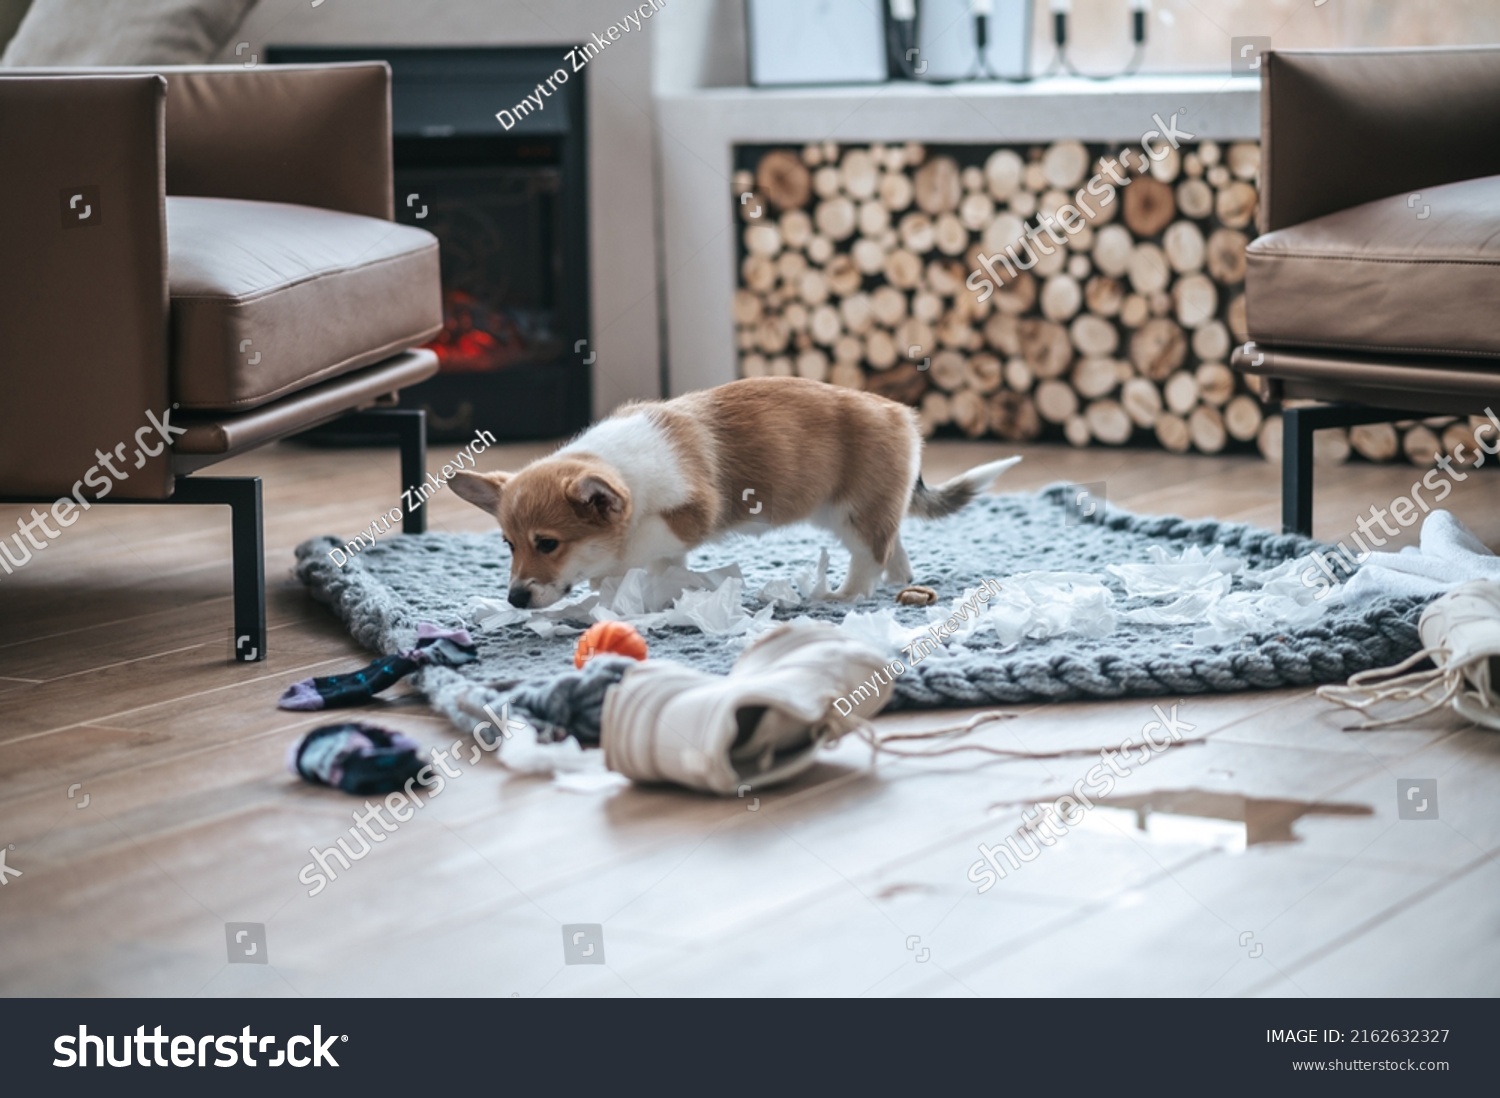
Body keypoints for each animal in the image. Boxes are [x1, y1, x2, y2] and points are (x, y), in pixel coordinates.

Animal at [447, 373, 1020, 606]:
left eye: (547, 544)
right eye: (508, 544)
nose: (515, 599)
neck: (618, 465)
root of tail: (902, 414)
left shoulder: (688, 513)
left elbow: (640, 547)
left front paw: (618, 576)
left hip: (854, 513)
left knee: (870, 556)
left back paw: (844, 595)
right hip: (860, 509)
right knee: (894, 546)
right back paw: (900, 582)